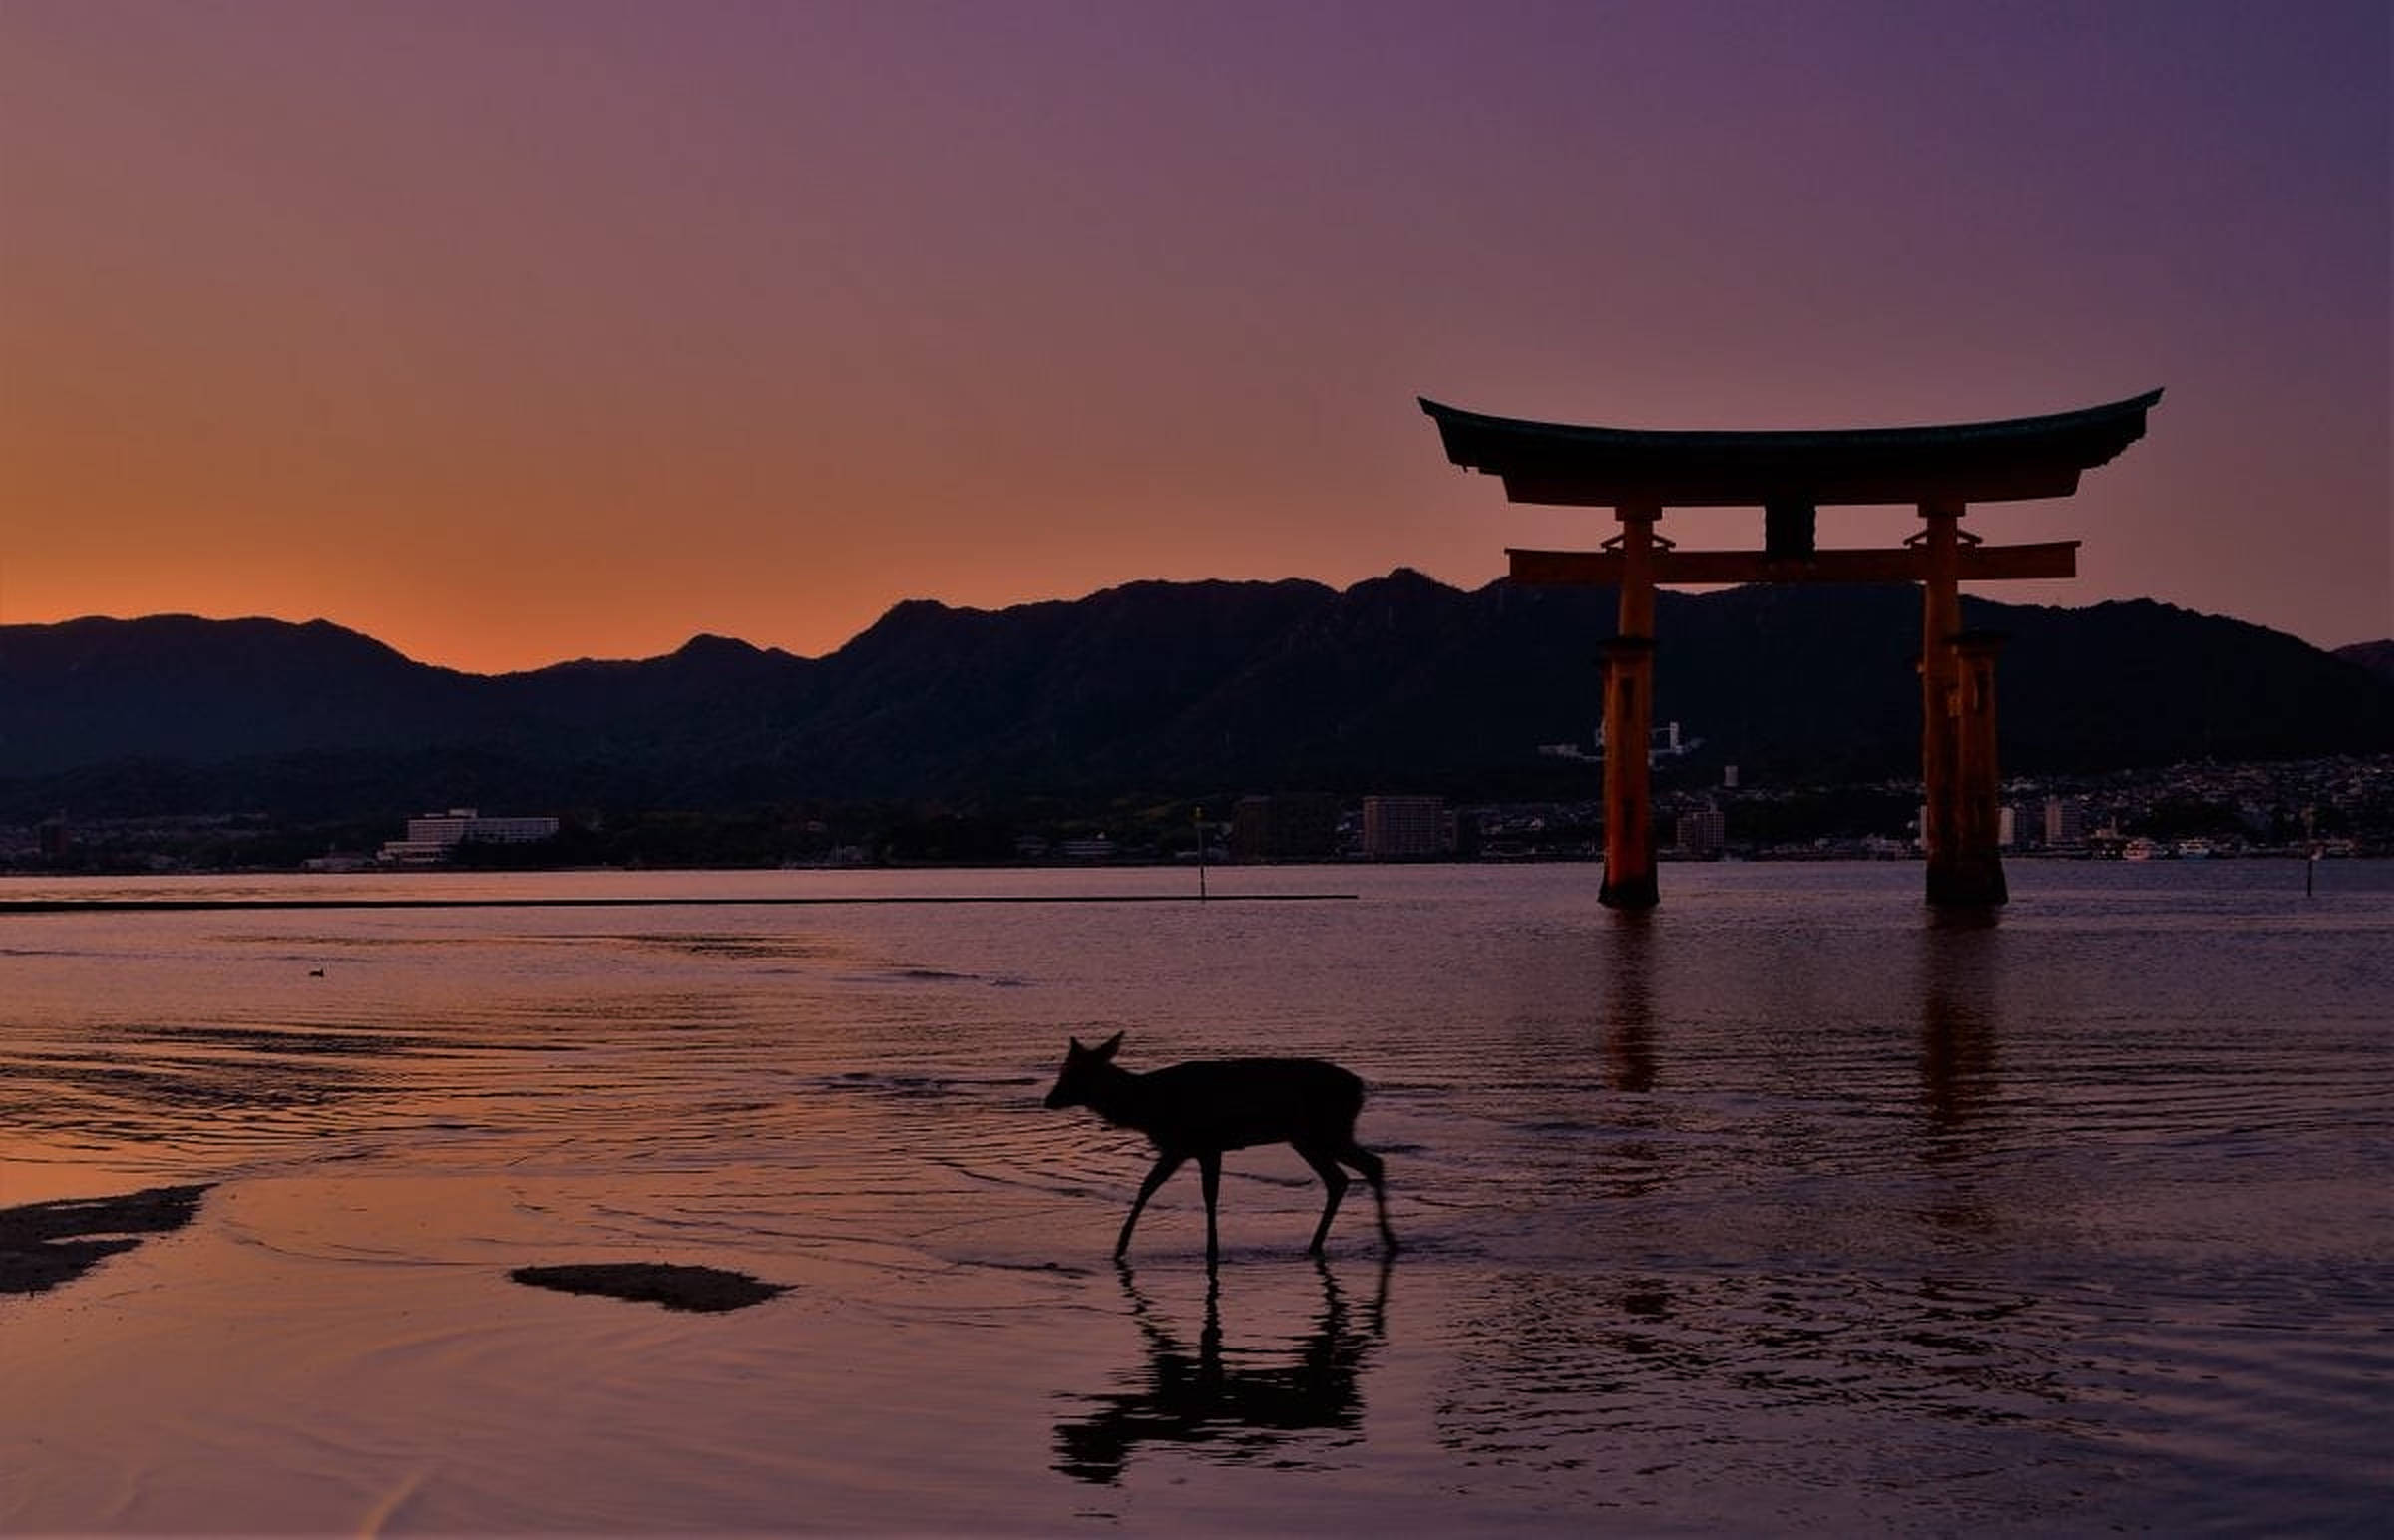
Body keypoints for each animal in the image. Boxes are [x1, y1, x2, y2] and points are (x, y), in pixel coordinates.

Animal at [1043, 1032, 1396, 1265]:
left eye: (1076, 1074)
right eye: (1063, 1070)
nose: (1049, 1099)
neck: (1150, 1105)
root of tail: (1359, 1089)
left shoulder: (1203, 1143)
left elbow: (1205, 1196)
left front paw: (1211, 1250)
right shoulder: (1183, 1147)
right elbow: (1149, 1187)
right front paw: (1120, 1247)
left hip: (1325, 1130)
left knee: (1367, 1166)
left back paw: (1386, 1239)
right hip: (1310, 1136)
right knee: (1344, 1176)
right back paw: (1320, 1244)